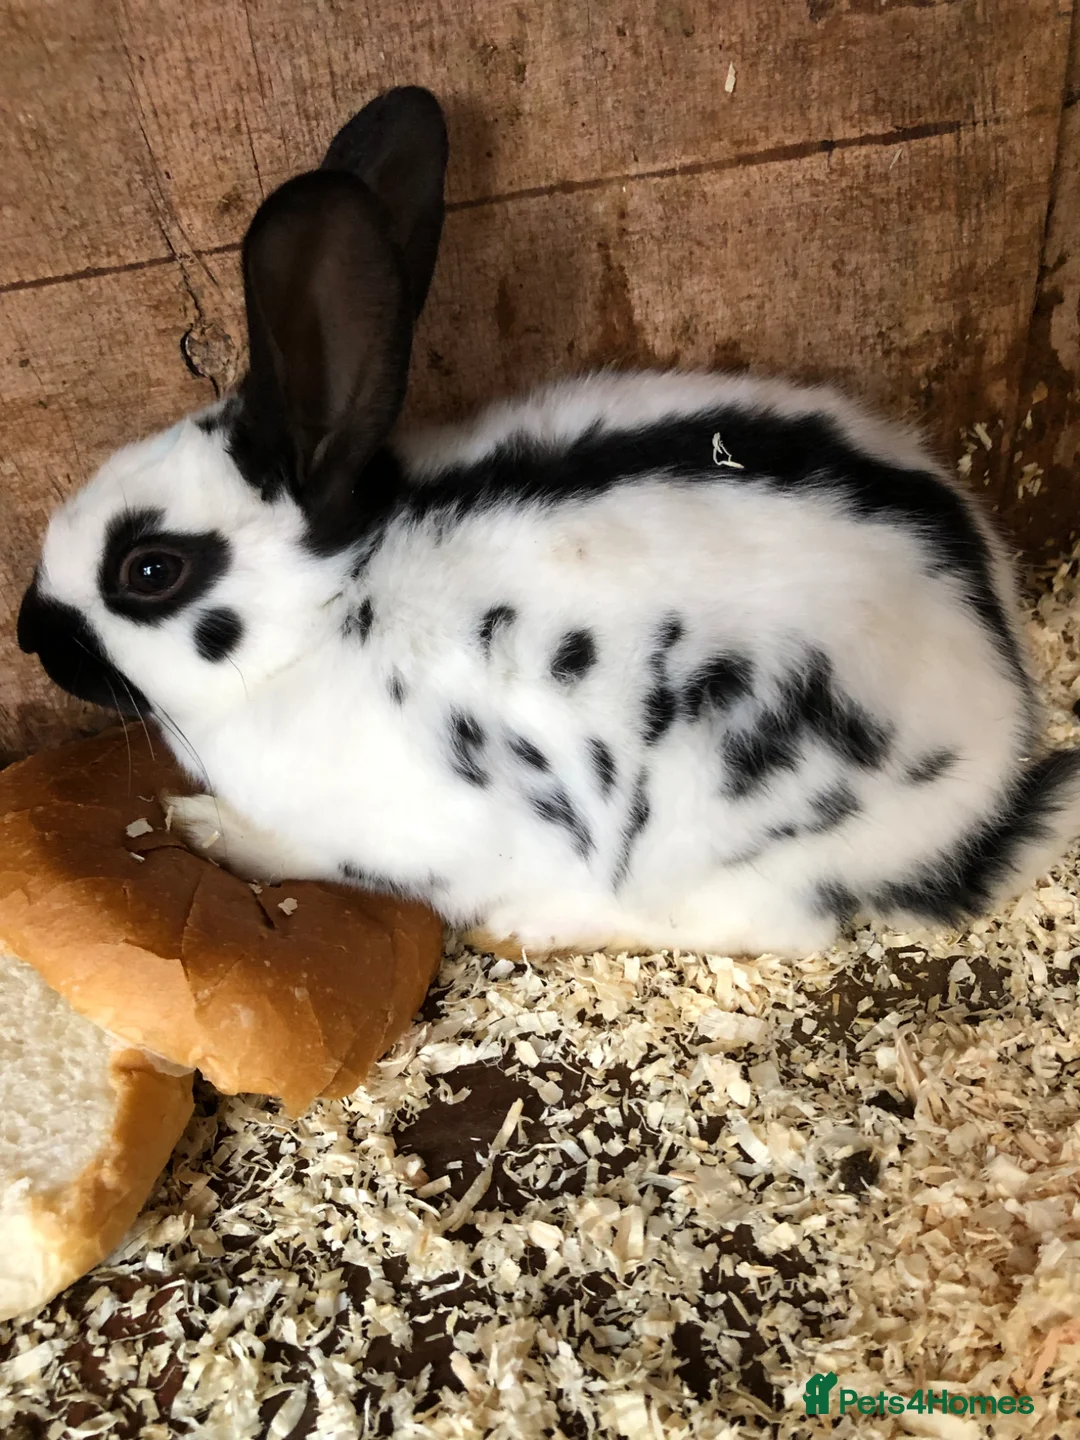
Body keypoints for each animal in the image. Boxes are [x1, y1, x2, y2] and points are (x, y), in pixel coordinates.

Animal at [17, 85, 1080, 962]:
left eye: (149, 570)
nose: (32, 634)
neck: (326, 617)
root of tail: (991, 774)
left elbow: (300, 853)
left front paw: (205, 830)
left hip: (716, 835)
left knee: (768, 928)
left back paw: (536, 925)